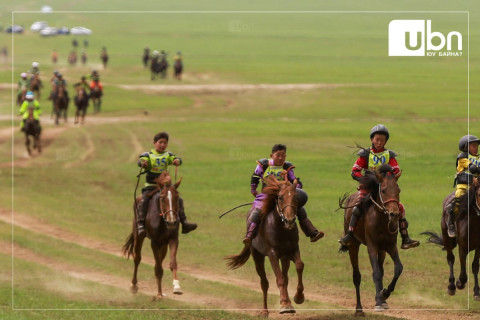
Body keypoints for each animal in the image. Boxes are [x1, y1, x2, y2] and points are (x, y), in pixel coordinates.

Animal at [122, 172, 184, 300]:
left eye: (177, 198)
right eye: (162, 198)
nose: (172, 222)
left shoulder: (173, 239)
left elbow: (172, 263)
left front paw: (176, 287)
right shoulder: (154, 242)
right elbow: (159, 268)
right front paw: (159, 294)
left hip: (163, 245)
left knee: (158, 261)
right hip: (138, 235)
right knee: (137, 258)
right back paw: (133, 286)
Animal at [225, 174, 304, 316]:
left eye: (296, 197)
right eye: (280, 197)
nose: (289, 220)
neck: (282, 229)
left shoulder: (292, 250)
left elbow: (299, 266)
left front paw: (298, 297)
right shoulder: (272, 254)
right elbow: (279, 279)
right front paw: (284, 304)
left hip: (284, 258)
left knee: (285, 276)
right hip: (257, 255)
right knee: (264, 282)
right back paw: (264, 311)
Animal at [338, 165, 404, 316]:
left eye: (398, 190)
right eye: (384, 190)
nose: (395, 214)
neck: (381, 219)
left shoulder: (390, 246)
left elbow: (398, 268)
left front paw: (384, 294)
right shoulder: (372, 246)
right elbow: (376, 273)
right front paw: (379, 301)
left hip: (382, 250)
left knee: (381, 268)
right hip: (353, 245)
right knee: (357, 276)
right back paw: (359, 309)